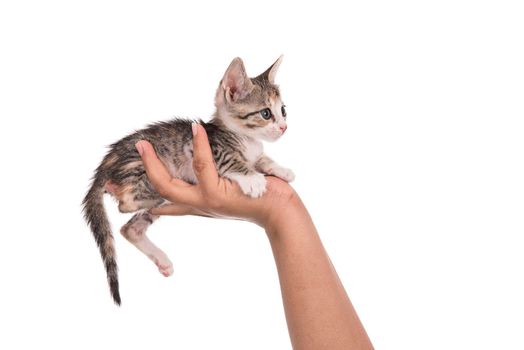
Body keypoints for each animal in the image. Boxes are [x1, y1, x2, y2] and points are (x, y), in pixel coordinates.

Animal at [82, 56, 294, 304]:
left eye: (283, 110)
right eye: (266, 113)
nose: (284, 127)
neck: (245, 139)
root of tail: (103, 168)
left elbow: (262, 159)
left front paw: (280, 169)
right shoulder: (207, 148)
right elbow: (234, 161)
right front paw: (253, 179)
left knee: (129, 229)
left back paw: (160, 257)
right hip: (139, 166)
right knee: (126, 204)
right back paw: (160, 197)